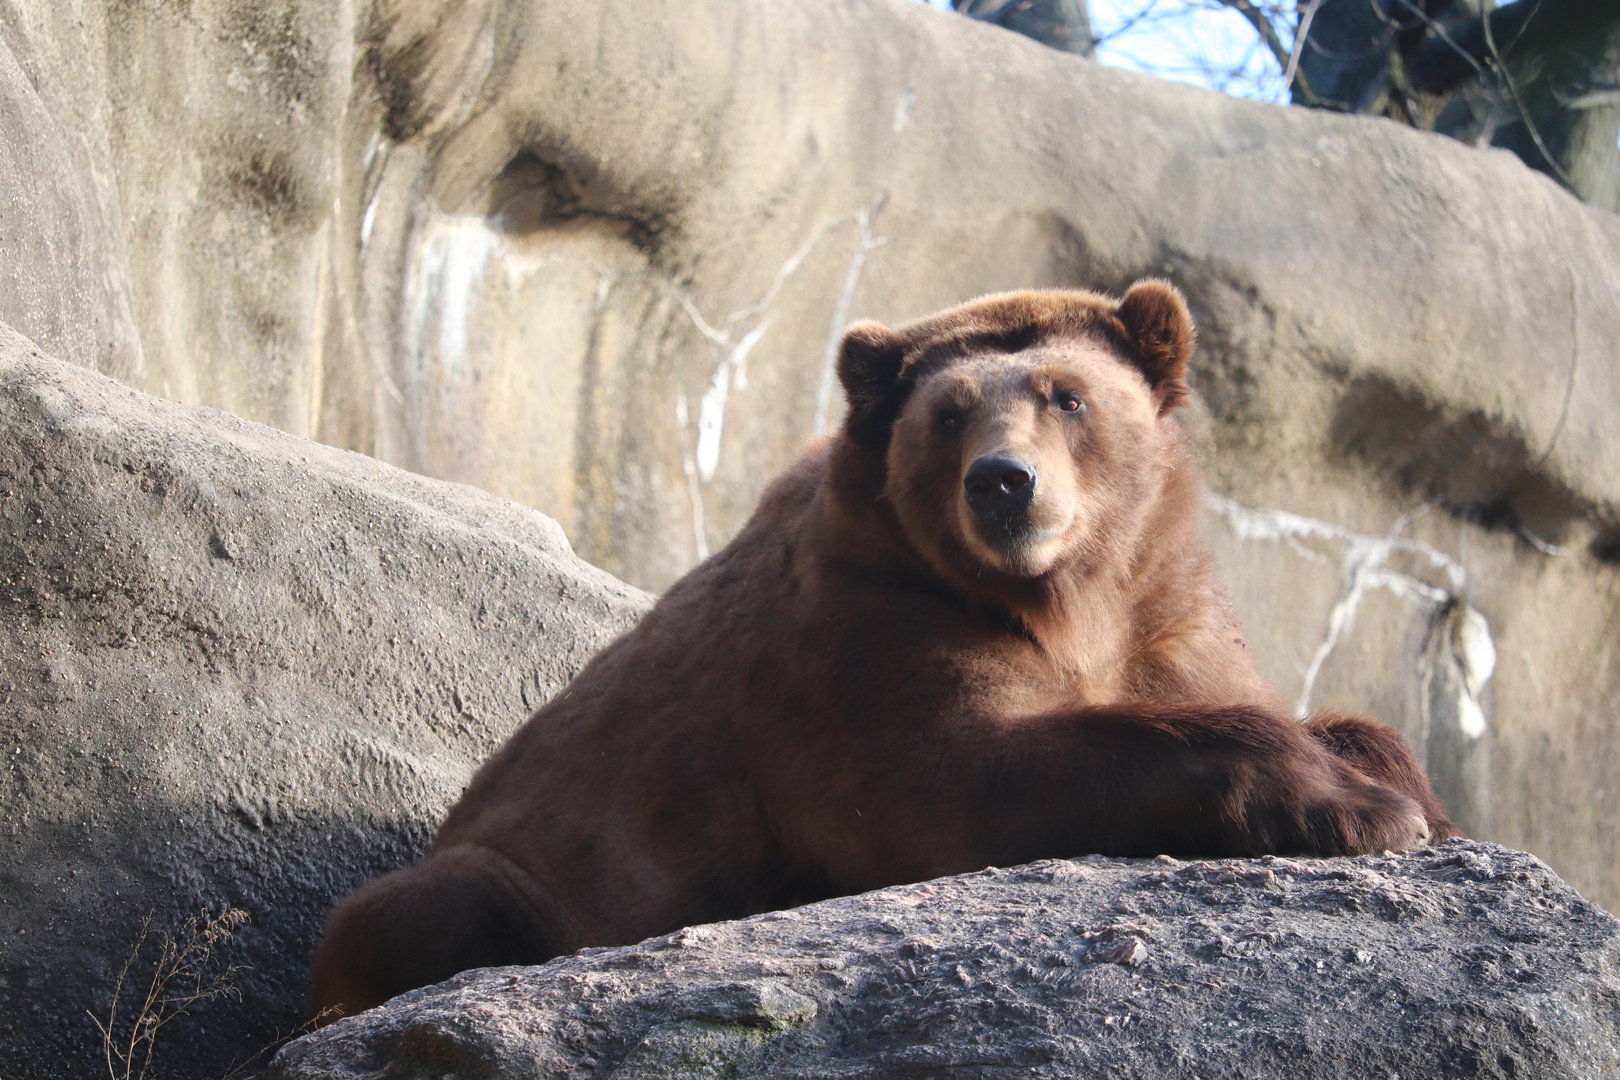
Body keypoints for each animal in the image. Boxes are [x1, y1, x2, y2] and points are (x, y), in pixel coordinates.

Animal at [310, 280, 1457, 1018]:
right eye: (950, 413)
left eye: (1067, 395)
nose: (1003, 482)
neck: (1062, 599)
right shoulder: (867, 639)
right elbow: (972, 771)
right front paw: (1357, 809)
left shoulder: (1165, 612)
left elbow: (1284, 702)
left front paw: (1400, 787)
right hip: (522, 868)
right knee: (422, 910)